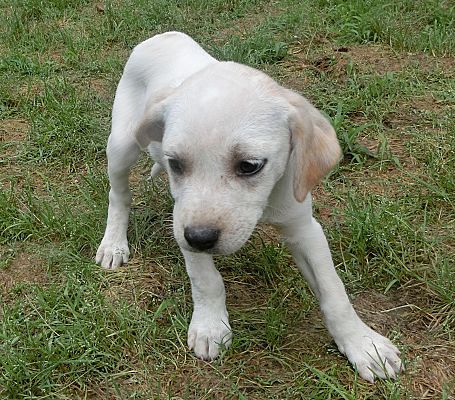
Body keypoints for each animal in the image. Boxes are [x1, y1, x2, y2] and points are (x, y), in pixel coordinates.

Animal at [96, 30, 402, 382]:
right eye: (176, 164)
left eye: (250, 166)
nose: (200, 238)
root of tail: (165, 34)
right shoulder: (183, 220)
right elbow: (206, 279)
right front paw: (210, 326)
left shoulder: (304, 229)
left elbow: (334, 291)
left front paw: (362, 343)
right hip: (122, 145)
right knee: (119, 195)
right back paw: (113, 243)